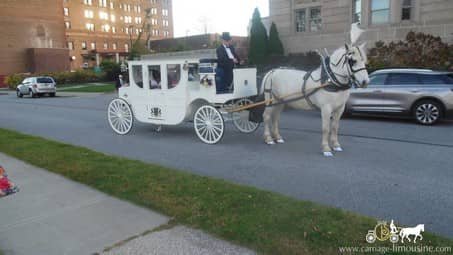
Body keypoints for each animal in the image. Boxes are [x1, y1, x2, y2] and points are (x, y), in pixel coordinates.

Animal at [260, 22, 370, 156]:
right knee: (266, 116)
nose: (365, 82)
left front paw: (336, 145)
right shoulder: (326, 108)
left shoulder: (340, 108)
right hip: (270, 100)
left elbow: (335, 127)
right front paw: (326, 149)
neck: (331, 80)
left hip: (280, 101)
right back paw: (268, 138)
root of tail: (273, 71)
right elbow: (326, 128)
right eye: (352, 61)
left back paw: (278, 137)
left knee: (275, 118)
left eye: (364, 60)